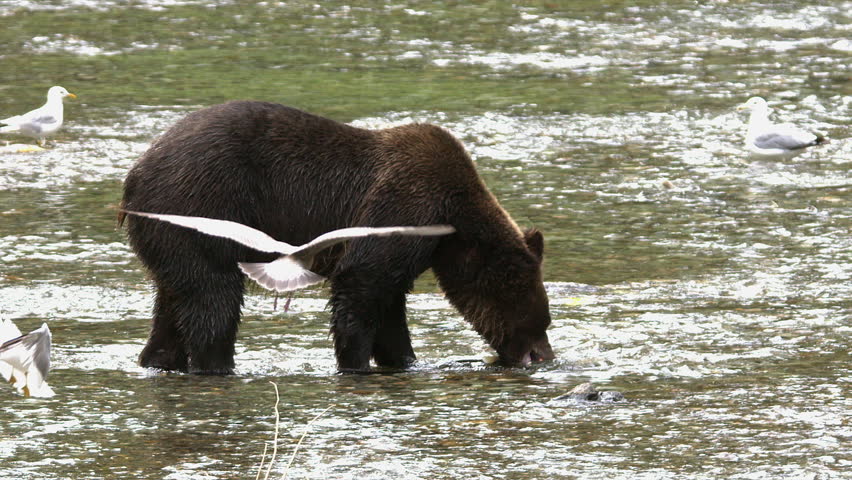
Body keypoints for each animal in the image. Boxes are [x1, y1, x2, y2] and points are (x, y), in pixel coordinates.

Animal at [119, 101, 554, 374]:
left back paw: (158, 359)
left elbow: (390, 305)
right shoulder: (402, 209)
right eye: (535, 315)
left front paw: (404, 359)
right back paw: (218, 365)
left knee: (173, 303)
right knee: (213, 299)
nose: (543, 355)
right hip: (203, 207)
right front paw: (355, 362)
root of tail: (136, 172)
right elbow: (361, 285)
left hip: (170, 238)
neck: (450, 223)